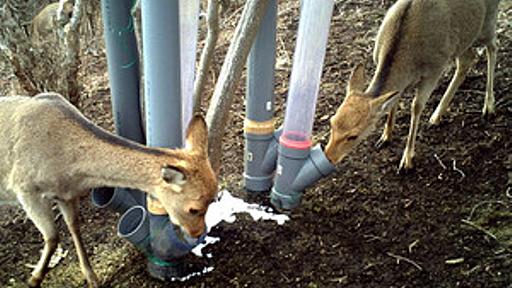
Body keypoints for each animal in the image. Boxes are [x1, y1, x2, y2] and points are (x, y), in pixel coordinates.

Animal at [0, 93, 218, 286]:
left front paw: (92, 279)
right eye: (194, 209)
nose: (197, 233)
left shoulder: (67, 195)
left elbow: (74, 226)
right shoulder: (25, 188)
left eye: (213, 200)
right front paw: (34, 279)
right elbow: (53, 237)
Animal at [326, 0, 498, 171]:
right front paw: (385, 137)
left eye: (353, 136)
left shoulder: (434, 70)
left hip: (487, 23)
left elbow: (416, 107)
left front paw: (407, 160)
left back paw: (488, 107)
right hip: (463, 39)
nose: (329, 156)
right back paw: (436, 116)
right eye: (332, 122)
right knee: (467, 59)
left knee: (492, 47)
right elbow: (394, 100)